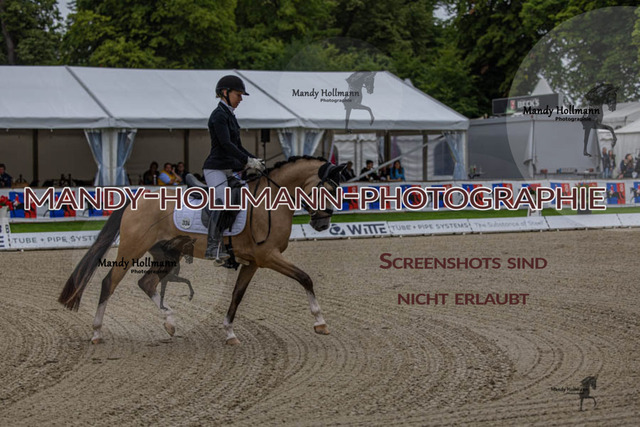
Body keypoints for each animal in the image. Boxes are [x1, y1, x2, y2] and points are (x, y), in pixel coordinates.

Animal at [58, 156, 345, 345]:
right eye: (329, 189)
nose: (322, 224)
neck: (271, 201)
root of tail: (136, 198)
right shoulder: (268, 257)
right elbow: (305, 278)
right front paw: (320, 322)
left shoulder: (253, 262)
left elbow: (237, 295)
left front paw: (229, 333)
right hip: (131, 250)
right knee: (109, 283)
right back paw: (97, 332)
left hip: (166, 255)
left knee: (147, 283)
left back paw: (170, 322)